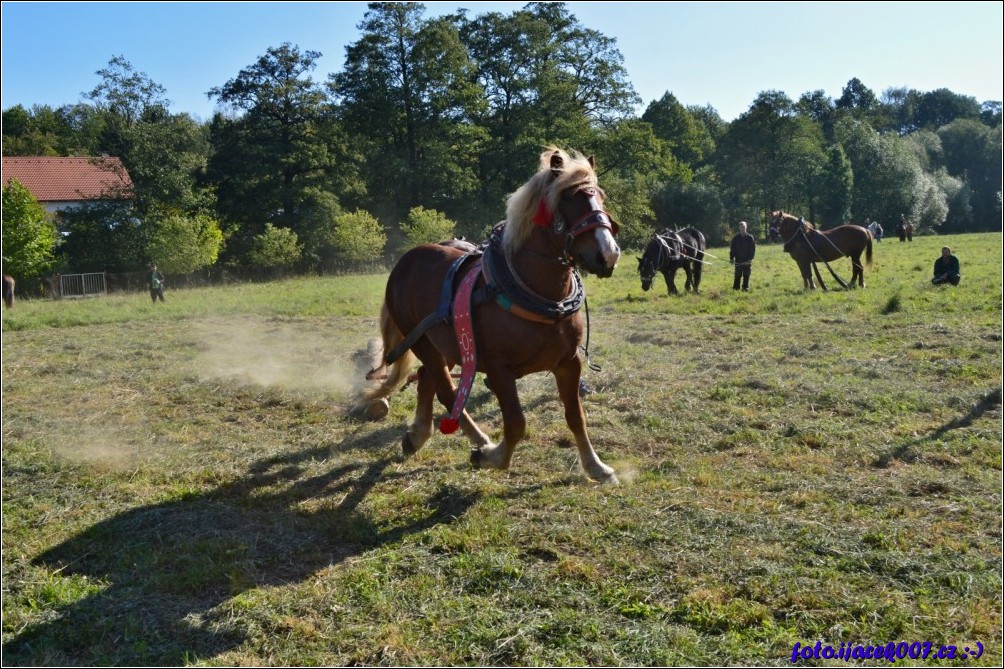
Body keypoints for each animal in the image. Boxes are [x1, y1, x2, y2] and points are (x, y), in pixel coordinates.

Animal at [357, 147, 622, 480]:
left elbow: (576, 416)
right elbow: (516, 423)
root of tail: (406, 261)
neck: (538, 294)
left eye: (600, 195)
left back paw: (417, 435)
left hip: (445, 345)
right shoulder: (499, 368)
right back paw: (478, 439)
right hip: (422, 342)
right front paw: (491, 457)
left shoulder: (568, 362)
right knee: (446, 391)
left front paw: (596, 466)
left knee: (427, 379)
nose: (608, 254)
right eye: (568, 198)